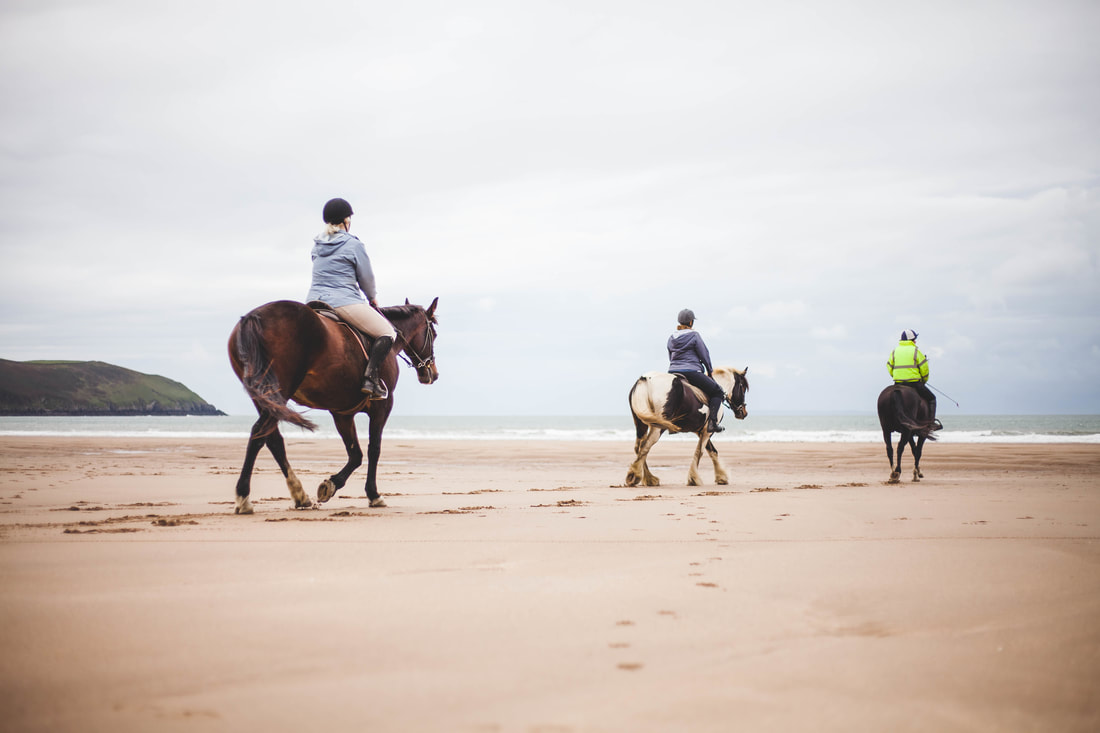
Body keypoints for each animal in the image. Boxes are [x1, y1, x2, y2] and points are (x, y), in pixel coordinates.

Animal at [226, 297, 437, 512]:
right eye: (434, 335)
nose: (432, 373)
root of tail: (254, 316)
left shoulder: (342, 413)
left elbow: (355, 454)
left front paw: (331, 485)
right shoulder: (382, 406)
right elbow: (374, 449)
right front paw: (373, 494)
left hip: (266, 397)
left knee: (272, 439)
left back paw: (299, 494)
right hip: (280, 391)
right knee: (259, 433)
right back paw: (244, 497)